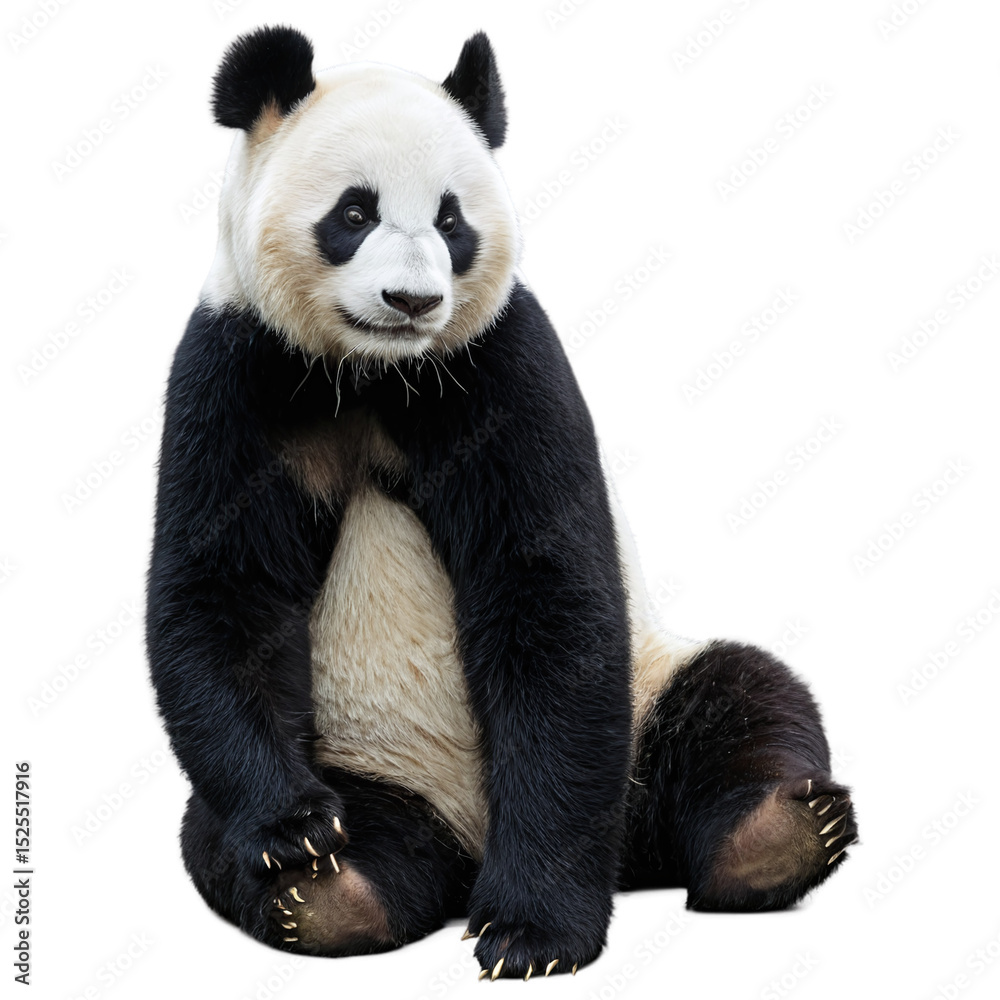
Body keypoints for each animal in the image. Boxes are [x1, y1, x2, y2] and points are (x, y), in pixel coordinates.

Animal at [147, 26, 857, 980]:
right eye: (355, 213)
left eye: (452, 220)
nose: (412, 301)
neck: (376, 371)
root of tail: (471, 850)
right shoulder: (238, 372)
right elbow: (224, 592)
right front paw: (295, 833)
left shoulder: (502, 362)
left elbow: (546, 595)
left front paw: (532, 934)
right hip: (363, 761)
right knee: (239, 837)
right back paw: (331, 890)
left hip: (644, 708)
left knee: (741, 698)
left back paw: (775, 836)